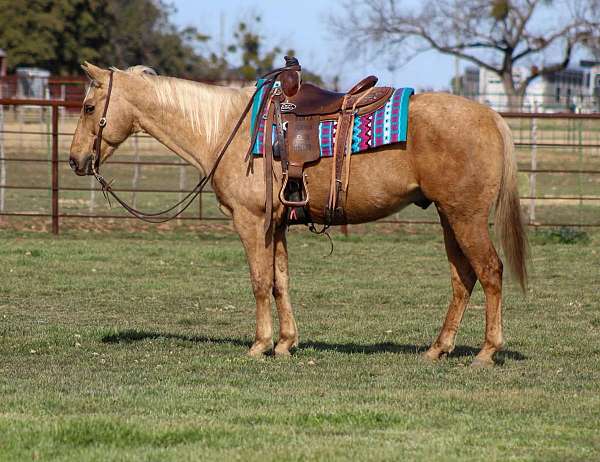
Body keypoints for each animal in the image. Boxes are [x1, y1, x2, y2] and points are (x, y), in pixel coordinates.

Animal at [70, 63, 528, 368]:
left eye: (90, 107)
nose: (76, 160)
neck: (227, 130)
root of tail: (490, 116)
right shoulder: (276, 224)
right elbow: (280, 282)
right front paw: (286, 343)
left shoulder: (251, 220)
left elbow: (259, 282)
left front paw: (259, 345)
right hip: (450, 217)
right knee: (462, 278)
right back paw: (437, 348)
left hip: (466, 216)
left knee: (490, 271)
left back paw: (487, 352)